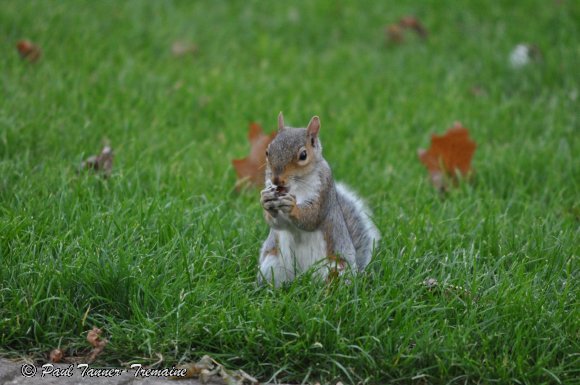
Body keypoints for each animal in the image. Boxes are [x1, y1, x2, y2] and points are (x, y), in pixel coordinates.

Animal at [258, 112, 380, 286]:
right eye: (267, 152)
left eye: (303, 155)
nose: (276, 180)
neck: (296, 186)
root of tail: (302, 277)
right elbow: (277, 223)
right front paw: (265, 200)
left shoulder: (324, 190)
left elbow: (312, 217)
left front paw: (292, 207)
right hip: (272, 265)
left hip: (336, 270)